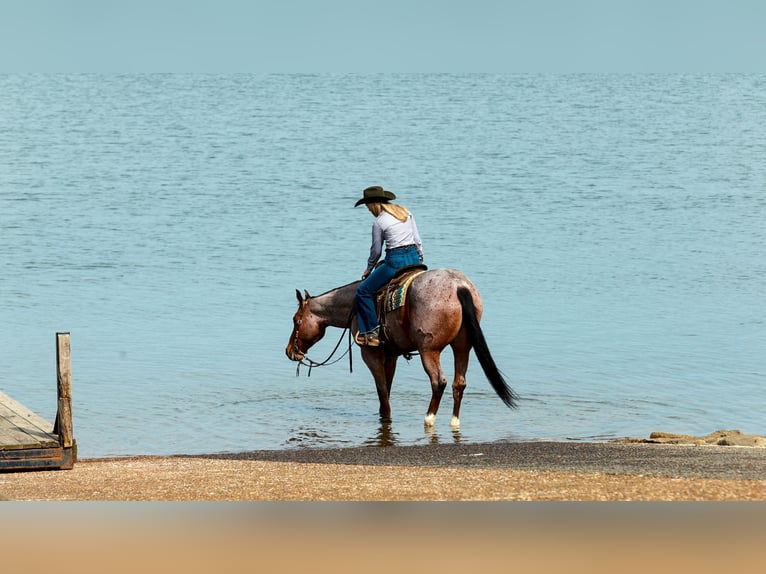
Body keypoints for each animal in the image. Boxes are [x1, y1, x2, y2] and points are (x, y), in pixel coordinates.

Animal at [285, 268, 518, 427]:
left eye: (296, 320)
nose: (289, 351)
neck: (353, 306)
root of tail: (459, 287)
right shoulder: (391, 355)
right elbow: (387, 389)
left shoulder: (370, 354)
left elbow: (381, 390)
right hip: (462, 347)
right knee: (458, 383)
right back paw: (454, 421)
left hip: (429, 350)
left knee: (439, 382)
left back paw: (429, 418)